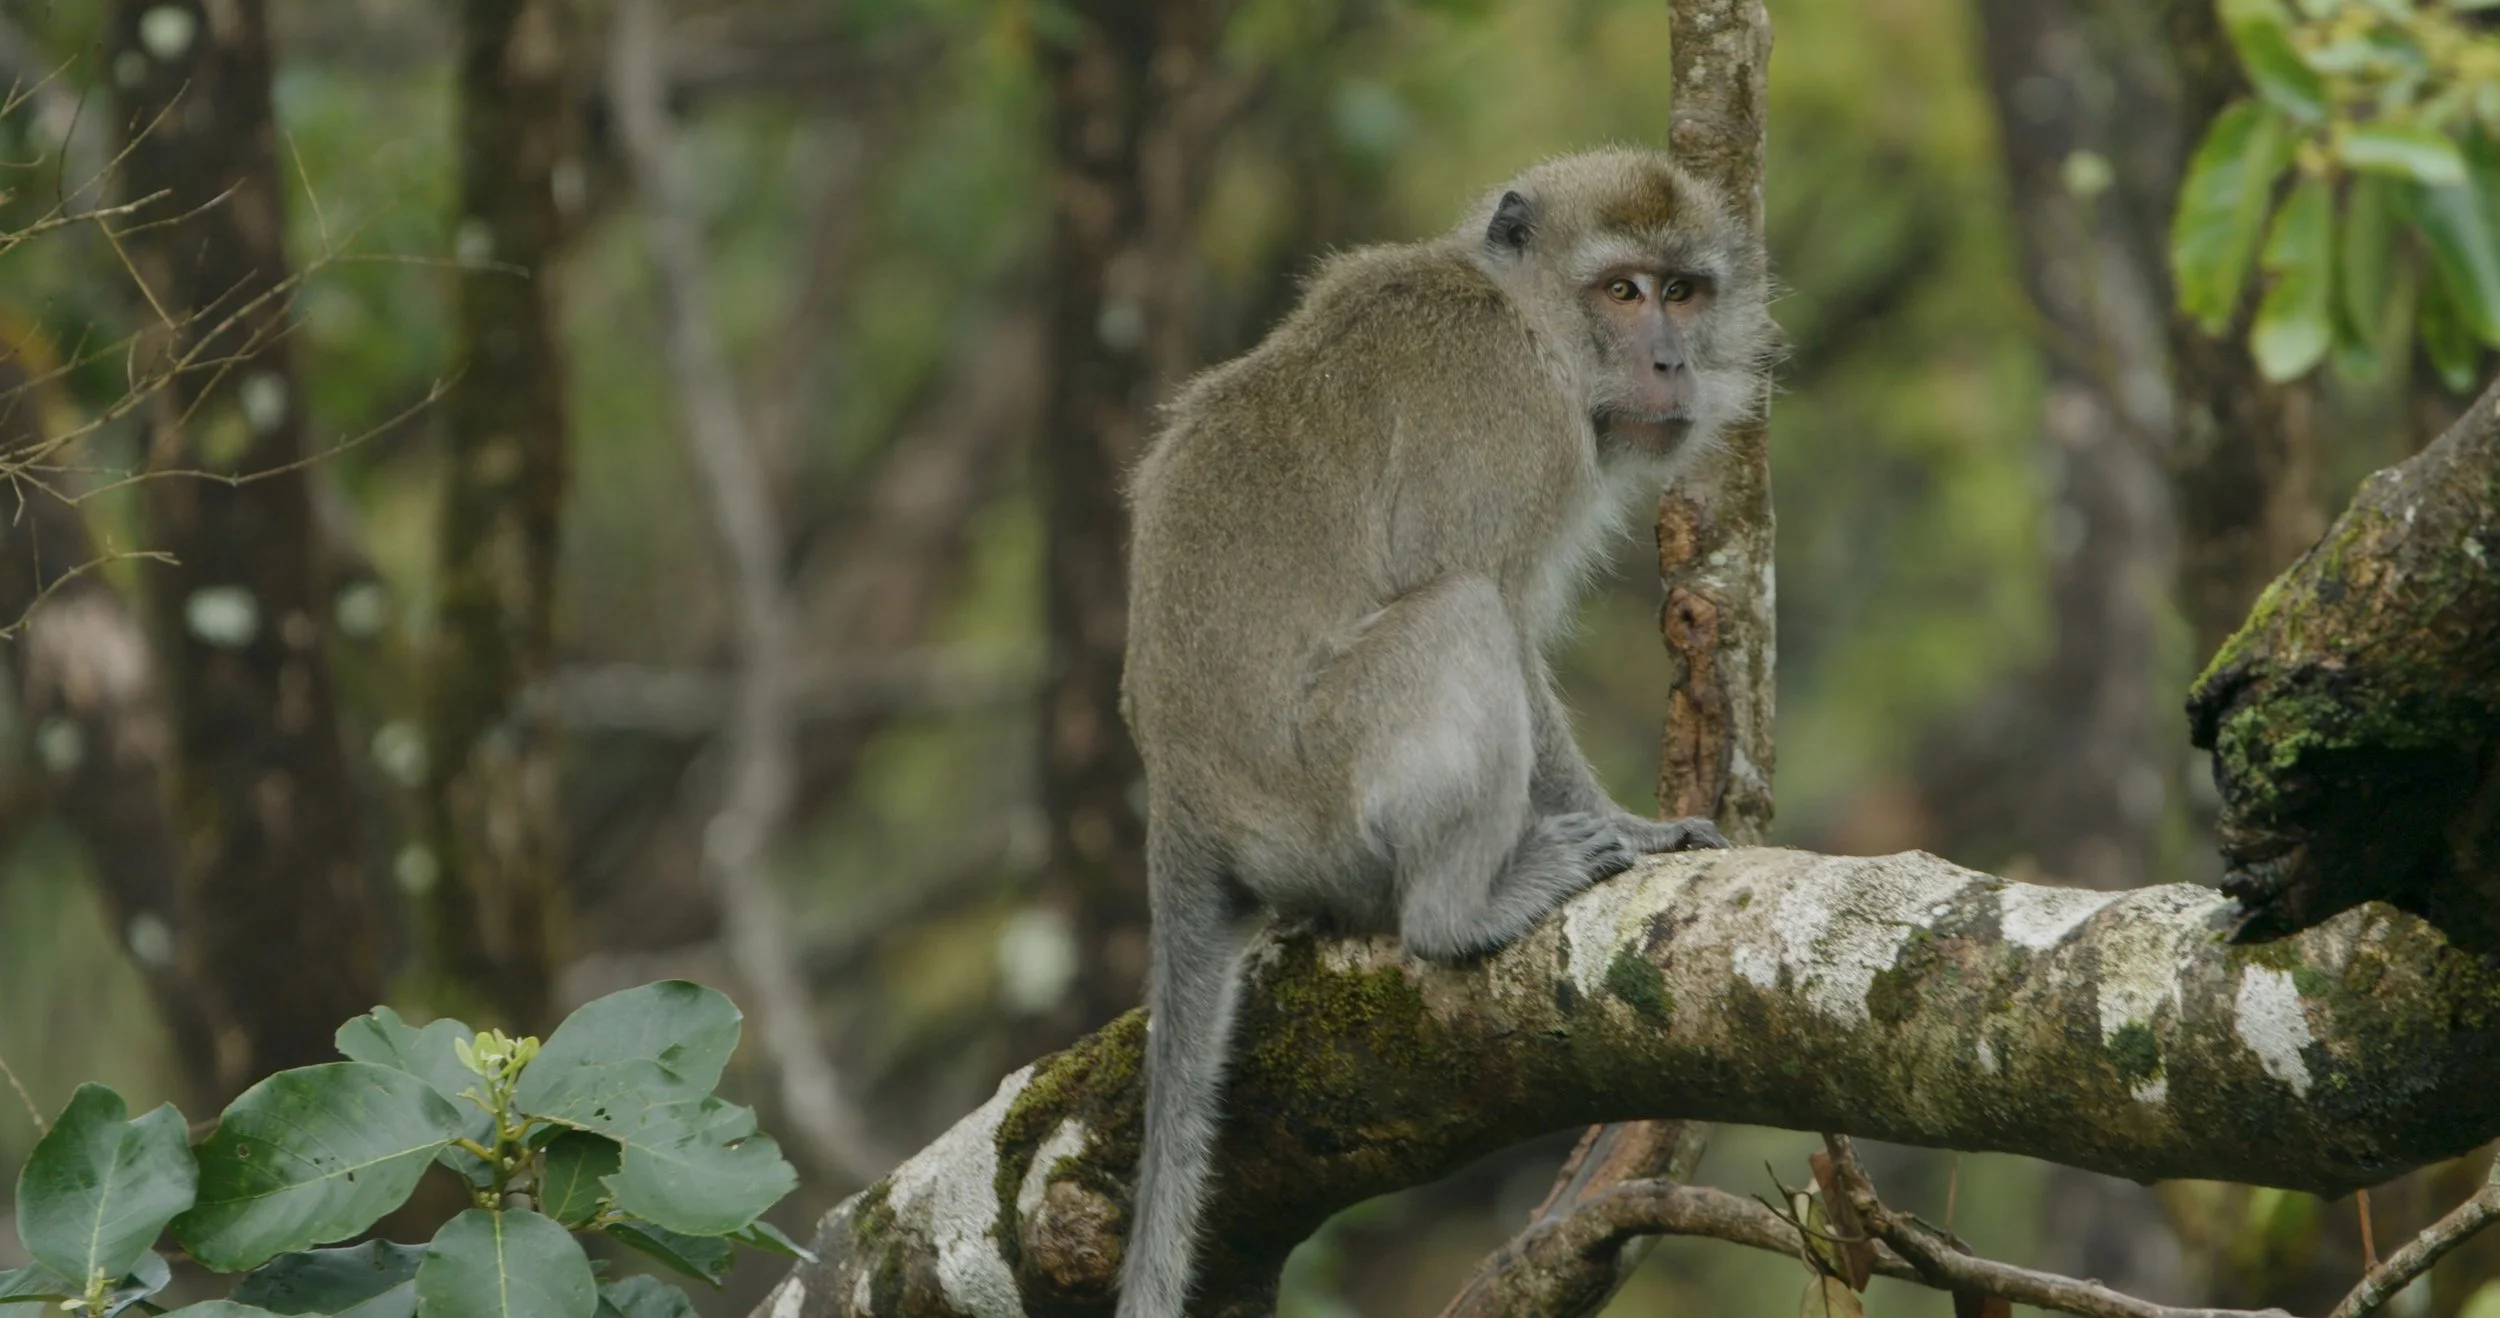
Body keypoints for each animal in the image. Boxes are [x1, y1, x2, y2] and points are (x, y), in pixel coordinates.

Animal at [1114, 146, 1775, 1318]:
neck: (1526, 319)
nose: (1668, 360)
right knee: (1458, 615)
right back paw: (1457, 913)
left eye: (1684, 291)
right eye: (1623, 291)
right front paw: (1633, 828)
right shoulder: (1509, 427)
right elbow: (1491, 599)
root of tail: (1183, 808)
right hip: (1322, 801)